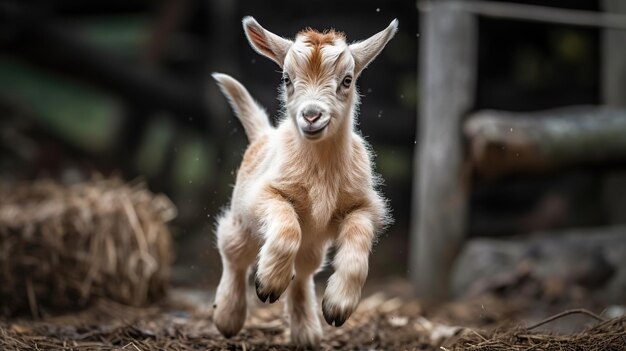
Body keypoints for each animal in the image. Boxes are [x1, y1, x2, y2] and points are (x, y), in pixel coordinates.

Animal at [212, 16, 392, 346]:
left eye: (347, 80)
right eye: (286, 79)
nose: (311, 116)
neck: (320, 167)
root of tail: (264, 134)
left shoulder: (363, 207)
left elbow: (357, 248)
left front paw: (338, 307)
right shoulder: (264, 194)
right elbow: (286, 230)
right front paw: (268, 284)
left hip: (314, 244)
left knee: (304, 272)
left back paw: (306, 333)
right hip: (242, 221)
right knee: (233, 253)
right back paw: (228, 317)